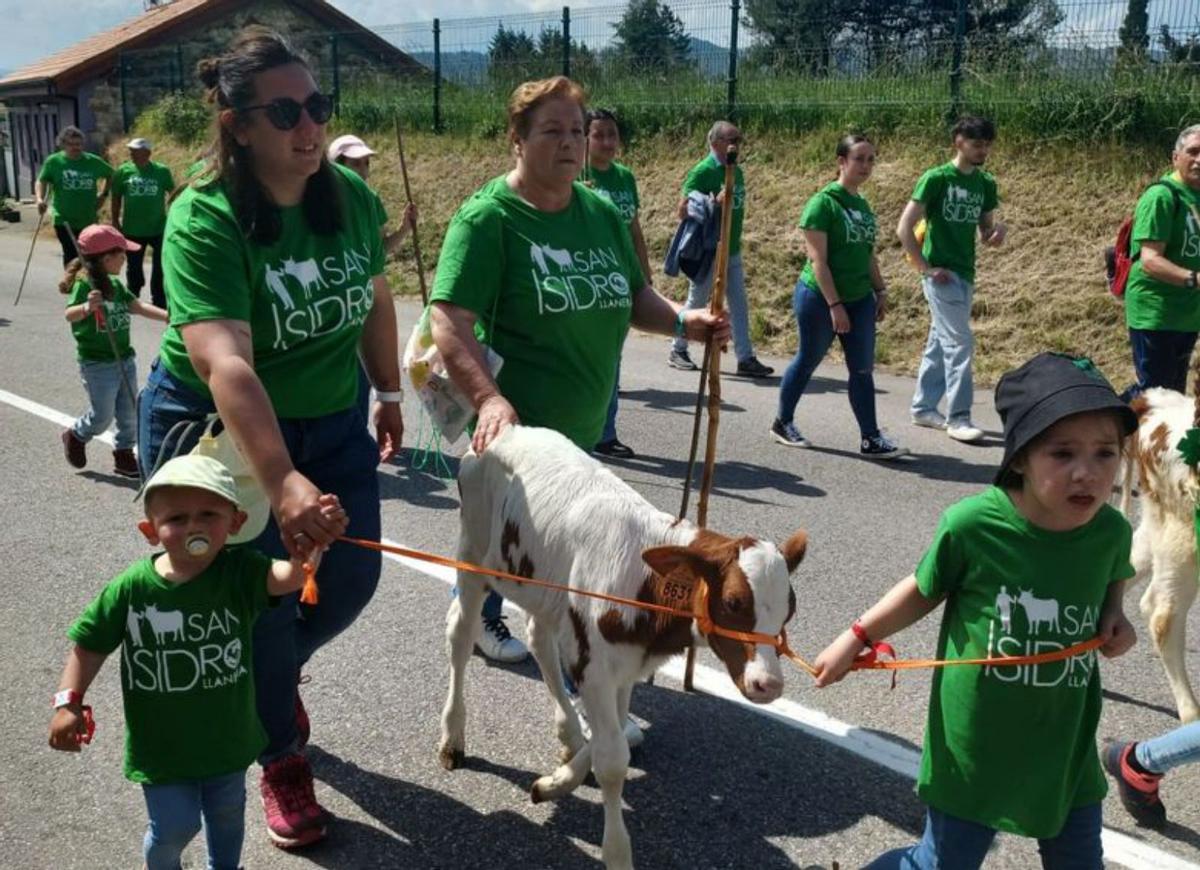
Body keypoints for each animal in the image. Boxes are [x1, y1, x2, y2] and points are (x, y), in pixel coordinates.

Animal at [436, 424, 801, 864]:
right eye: (733, 602)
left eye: (789, 611)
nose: (770, 685)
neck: (644, 586)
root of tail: (507, 428)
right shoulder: (595, 665)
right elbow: (612, 760)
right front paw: (617, 853)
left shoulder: (625, 666)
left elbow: (613, 738)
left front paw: (557, 781)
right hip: (472, 552)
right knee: (460, 634)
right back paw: (453, 739)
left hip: (546, 590)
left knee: (540, 640)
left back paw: (568, 733)